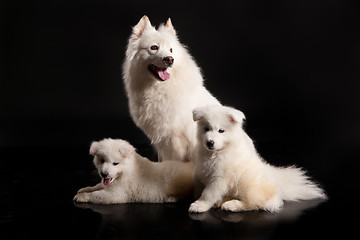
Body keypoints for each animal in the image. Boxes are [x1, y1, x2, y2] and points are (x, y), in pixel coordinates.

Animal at [123, 15, 219, 162]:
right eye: (154, 47)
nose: (170, 59)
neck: (159, 88)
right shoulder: (162, 140)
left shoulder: (175, 139)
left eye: (171, 50)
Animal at [190, 105, 328, 212]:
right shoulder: (201, 172)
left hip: (248, 182)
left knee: (254, 203)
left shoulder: (220, 178)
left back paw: (232, 205)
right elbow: (198, 188)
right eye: (206, 129)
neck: (217, 153)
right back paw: (222, 201)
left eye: (221, 131)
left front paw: (199, 205)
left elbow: (208, 193)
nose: (210, 142)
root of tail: (277, 184)